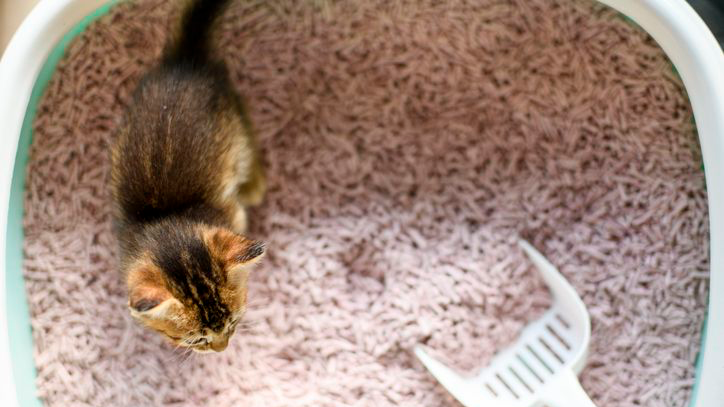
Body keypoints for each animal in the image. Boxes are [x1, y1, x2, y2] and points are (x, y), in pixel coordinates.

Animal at [110, 0, 264, 354]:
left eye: (233, 322)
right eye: (196, 339)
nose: (222, 349)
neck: (168, 217)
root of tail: (187, 56)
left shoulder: (232, 214)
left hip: (232, 113)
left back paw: (255, 185)